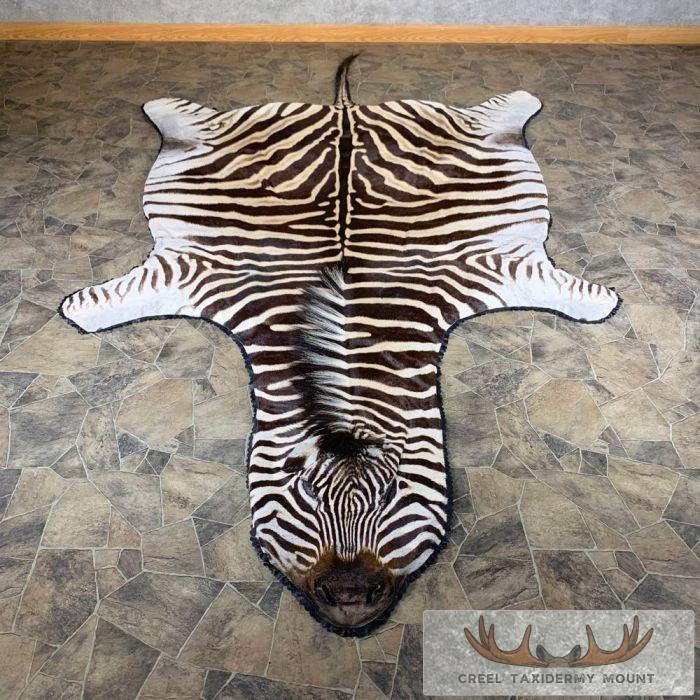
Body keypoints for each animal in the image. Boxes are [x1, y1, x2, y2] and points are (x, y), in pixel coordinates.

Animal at [61, 56, 619, 634]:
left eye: (392, 496)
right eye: (305, 496)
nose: (351, 601)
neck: (347, 337)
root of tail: (345, 110)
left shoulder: (495, 268)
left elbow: (576, 297)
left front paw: (603, 300)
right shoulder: (194, 271)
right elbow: (104, 302)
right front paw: (75, 307)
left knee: (504, 109)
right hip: (214, 136)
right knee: (183, 117)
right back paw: (159, 108)